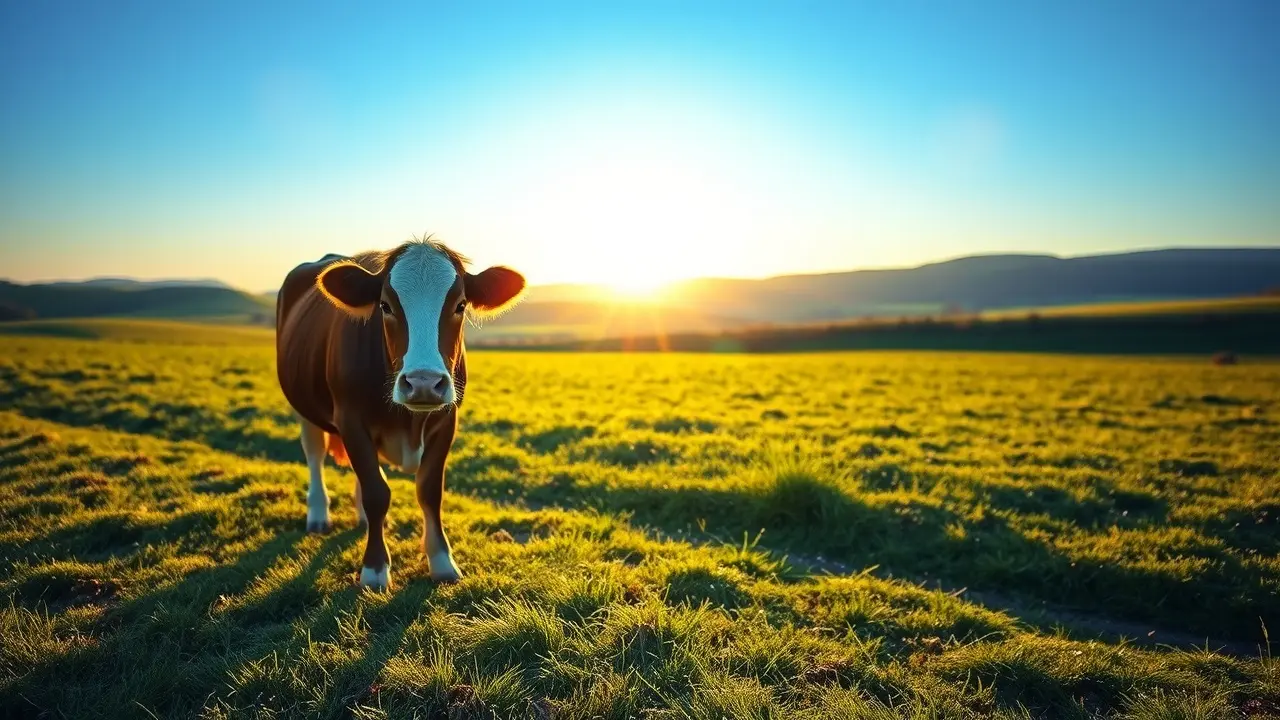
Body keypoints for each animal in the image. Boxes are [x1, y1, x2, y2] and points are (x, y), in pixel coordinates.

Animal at [275, 238, 525, 590]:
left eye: (460, 305)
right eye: (385, 306)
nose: (423, 383)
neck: (409, 421)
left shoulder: (447, 421)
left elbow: (429, 490)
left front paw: (442, 562)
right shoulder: (350, 419)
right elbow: (377, 492)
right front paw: (374, 569)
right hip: (305, 408)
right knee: (314, 454)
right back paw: (319, 514)